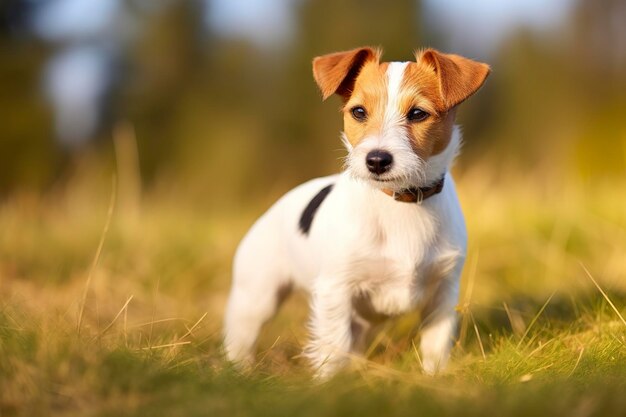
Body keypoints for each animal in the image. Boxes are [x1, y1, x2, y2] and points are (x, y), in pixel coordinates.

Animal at [222, 46, 490, 376]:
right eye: (359, 112)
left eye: (418, 113)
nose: (376, 160)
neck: (400, 201)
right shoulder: (336, 289)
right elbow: (334, 346)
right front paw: (330, 383)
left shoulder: (443, 292)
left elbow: (435, 346)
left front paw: (435, 378)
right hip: (256, 297)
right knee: (241, 337)